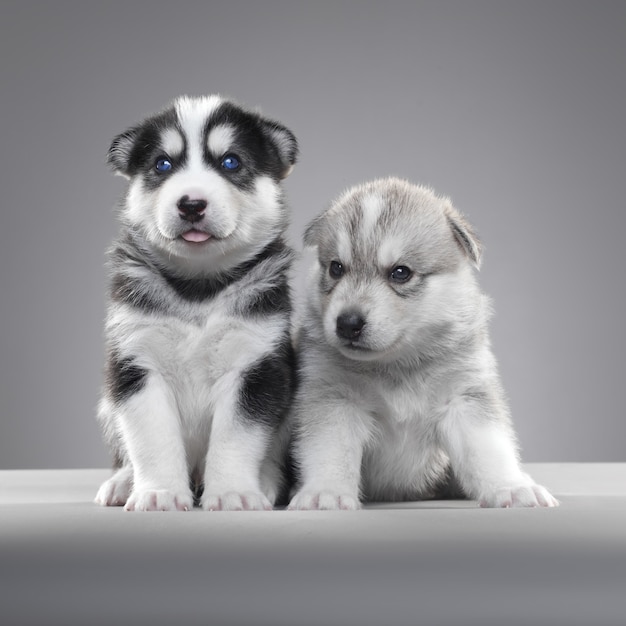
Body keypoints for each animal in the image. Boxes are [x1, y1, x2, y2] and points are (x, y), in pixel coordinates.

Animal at [93, 95, 298, 510]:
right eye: (162, 164)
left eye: (230, 162)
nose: (191, 204)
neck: (198, 288)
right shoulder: (136, 362)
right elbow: (151, 438)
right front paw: (158, 492)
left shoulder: (254, 364)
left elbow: (236, 439)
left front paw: (234, 492)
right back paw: (123, 482)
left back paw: (265, 482)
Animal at [288, 178, 556, 510]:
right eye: (336, 268)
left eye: (400, 273)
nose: (347, 323)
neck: (396, 363)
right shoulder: (334, 398)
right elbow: (330, 450)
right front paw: (326, 491)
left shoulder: (465, 397)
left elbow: (489, 447)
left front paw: (512, 486)